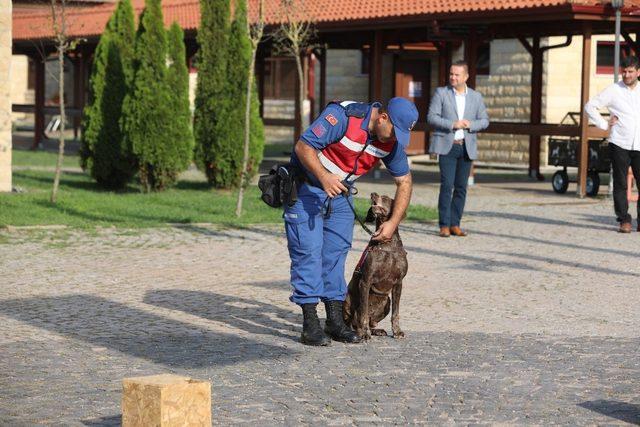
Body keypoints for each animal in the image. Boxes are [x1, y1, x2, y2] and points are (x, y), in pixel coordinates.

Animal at [342, 194, 408, 342]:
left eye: (385, 197)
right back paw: (355, 332)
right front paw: (364, 334)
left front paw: (397, 331)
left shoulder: (399, 283)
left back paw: (376, 330)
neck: (387, 243)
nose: (373, 193)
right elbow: (363, 314)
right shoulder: (365, 281)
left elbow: (396, 313)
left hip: (387, 301)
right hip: (348, 300)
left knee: (371, 321)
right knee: (353, 321)